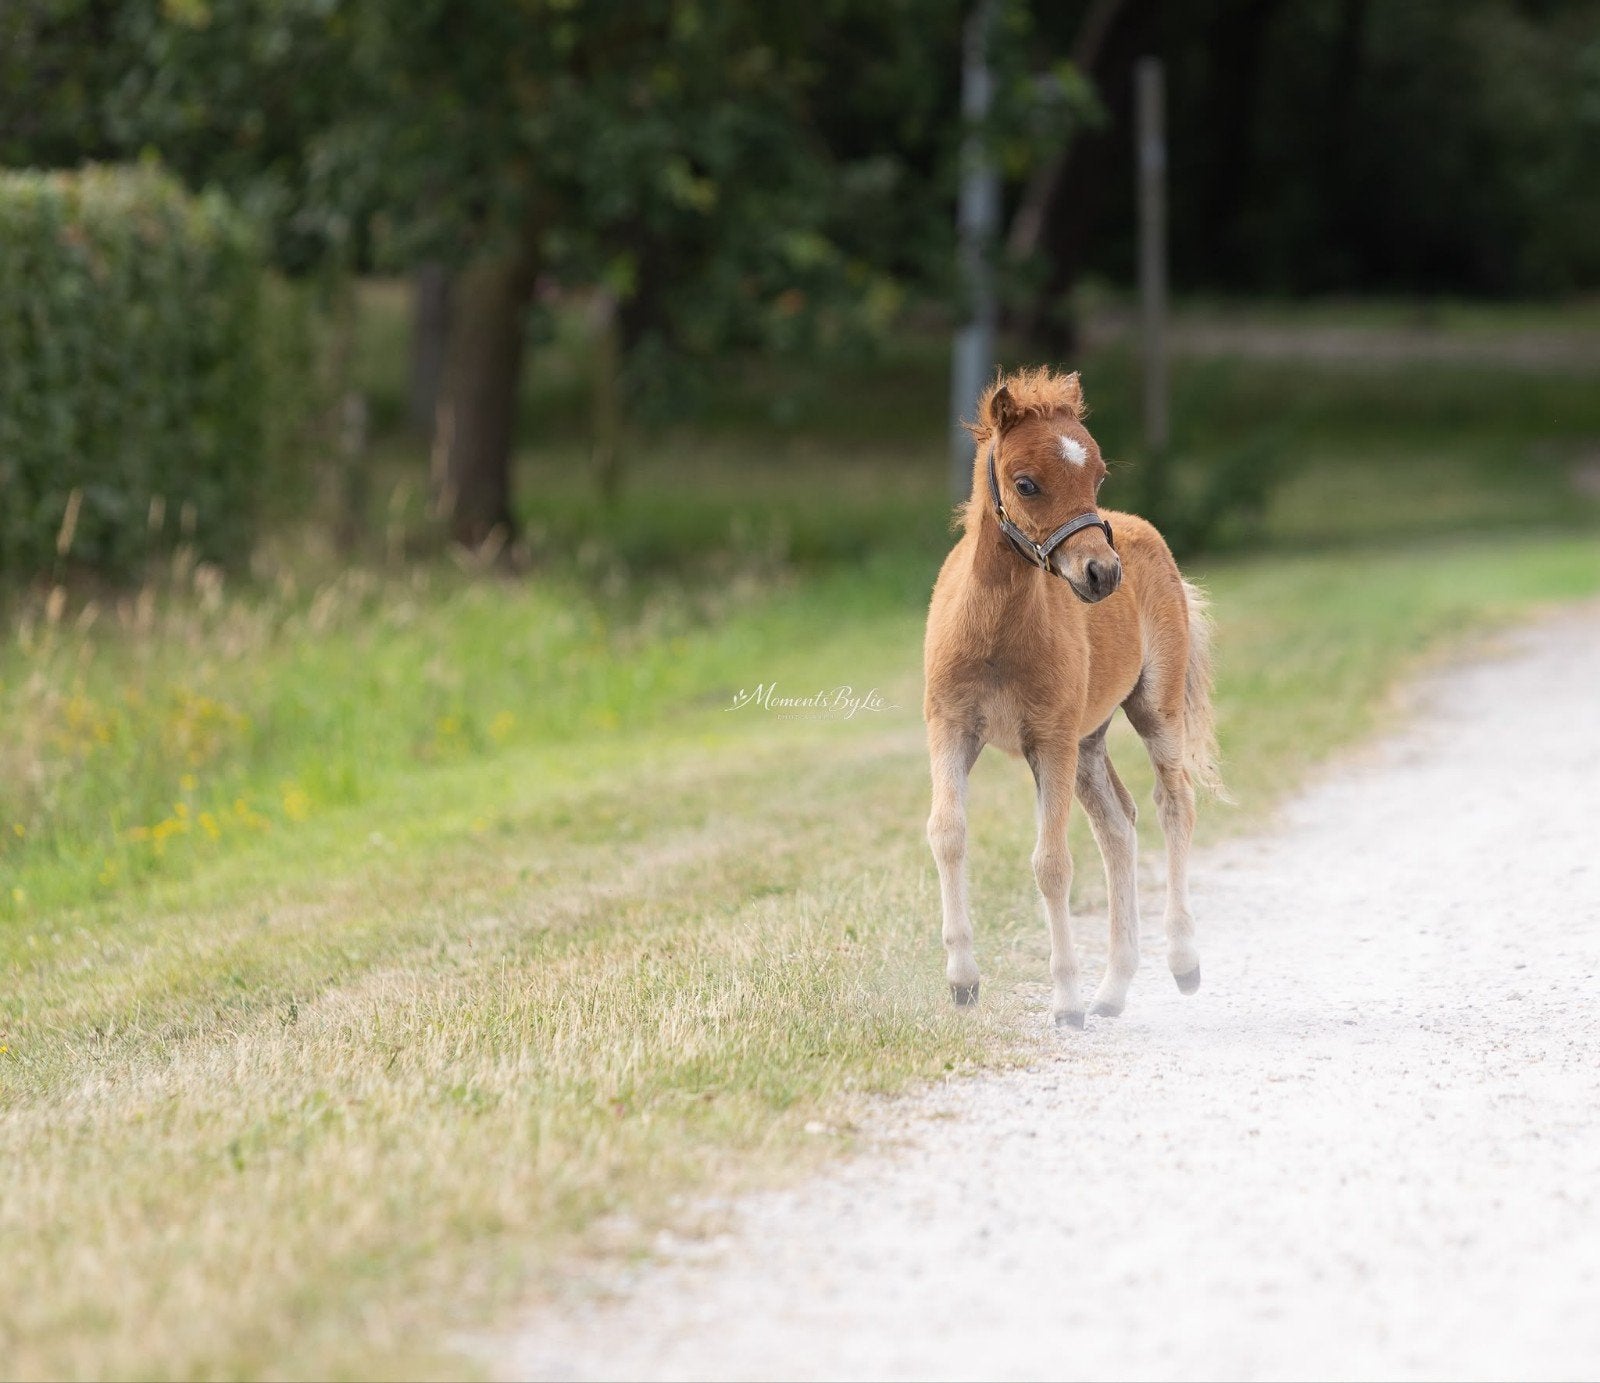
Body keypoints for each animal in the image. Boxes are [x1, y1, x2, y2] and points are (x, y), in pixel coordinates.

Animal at [923, 366, 1225, 1028]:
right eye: (1026, 483)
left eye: (1097, 475)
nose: (1102, 574)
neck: (998, 632)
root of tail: (1141, 529)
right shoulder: (951, 729)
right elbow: (948, 832)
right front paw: (962, 981)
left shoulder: (1050, 741)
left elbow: (1051, 863)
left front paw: (1064, 1002)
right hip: (1090, 742)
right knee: (1119, 824)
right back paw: (1112, 989)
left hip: (1151, 709)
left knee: (1172, 805)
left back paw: (1181, 963)